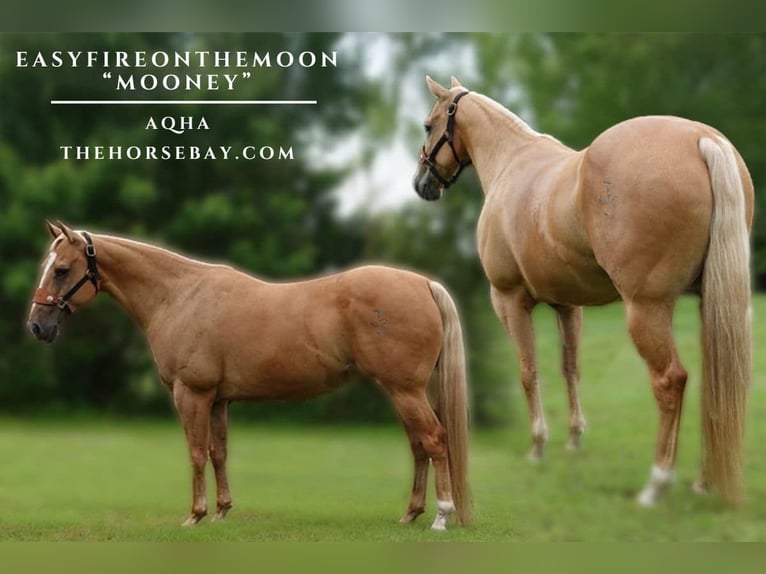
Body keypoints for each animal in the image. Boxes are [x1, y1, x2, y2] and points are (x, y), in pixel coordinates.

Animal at [26, 221, 470, 530]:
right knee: (419, 445)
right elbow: (218, 452)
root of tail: (424, 283)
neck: (179, 296)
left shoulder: (191, 393)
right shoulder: (218, 399)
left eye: (61, 270)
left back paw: (441, 516)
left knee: (434, 440)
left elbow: (195, 452)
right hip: (402, 391)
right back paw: (411, 514)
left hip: (404, 390)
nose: (36, 326)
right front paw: (222, 512)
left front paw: (195, 515)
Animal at [413, 76, 753, 506]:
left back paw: (656, 484)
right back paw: (705, 481)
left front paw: (538, 445)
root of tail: (701, 138)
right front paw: (574, 439)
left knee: (671, 381)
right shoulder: (567, 305)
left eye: (429, 125)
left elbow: (528, 371)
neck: (511, 162)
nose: (422, 184)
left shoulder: (509, 301)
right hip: (713, 302)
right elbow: (570, 367)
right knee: (717, 381)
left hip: (647, 309)